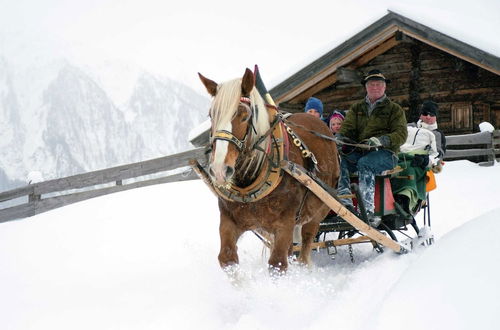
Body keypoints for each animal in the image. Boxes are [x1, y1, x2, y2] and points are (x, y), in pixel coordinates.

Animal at [197, 68, 338, 272]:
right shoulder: (229, 219)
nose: (219, 170)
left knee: (305, 245)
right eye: (211, 115)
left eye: (244, 115)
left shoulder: (285, 222)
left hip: (319, 211)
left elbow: (277, 263)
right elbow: (227, 259)